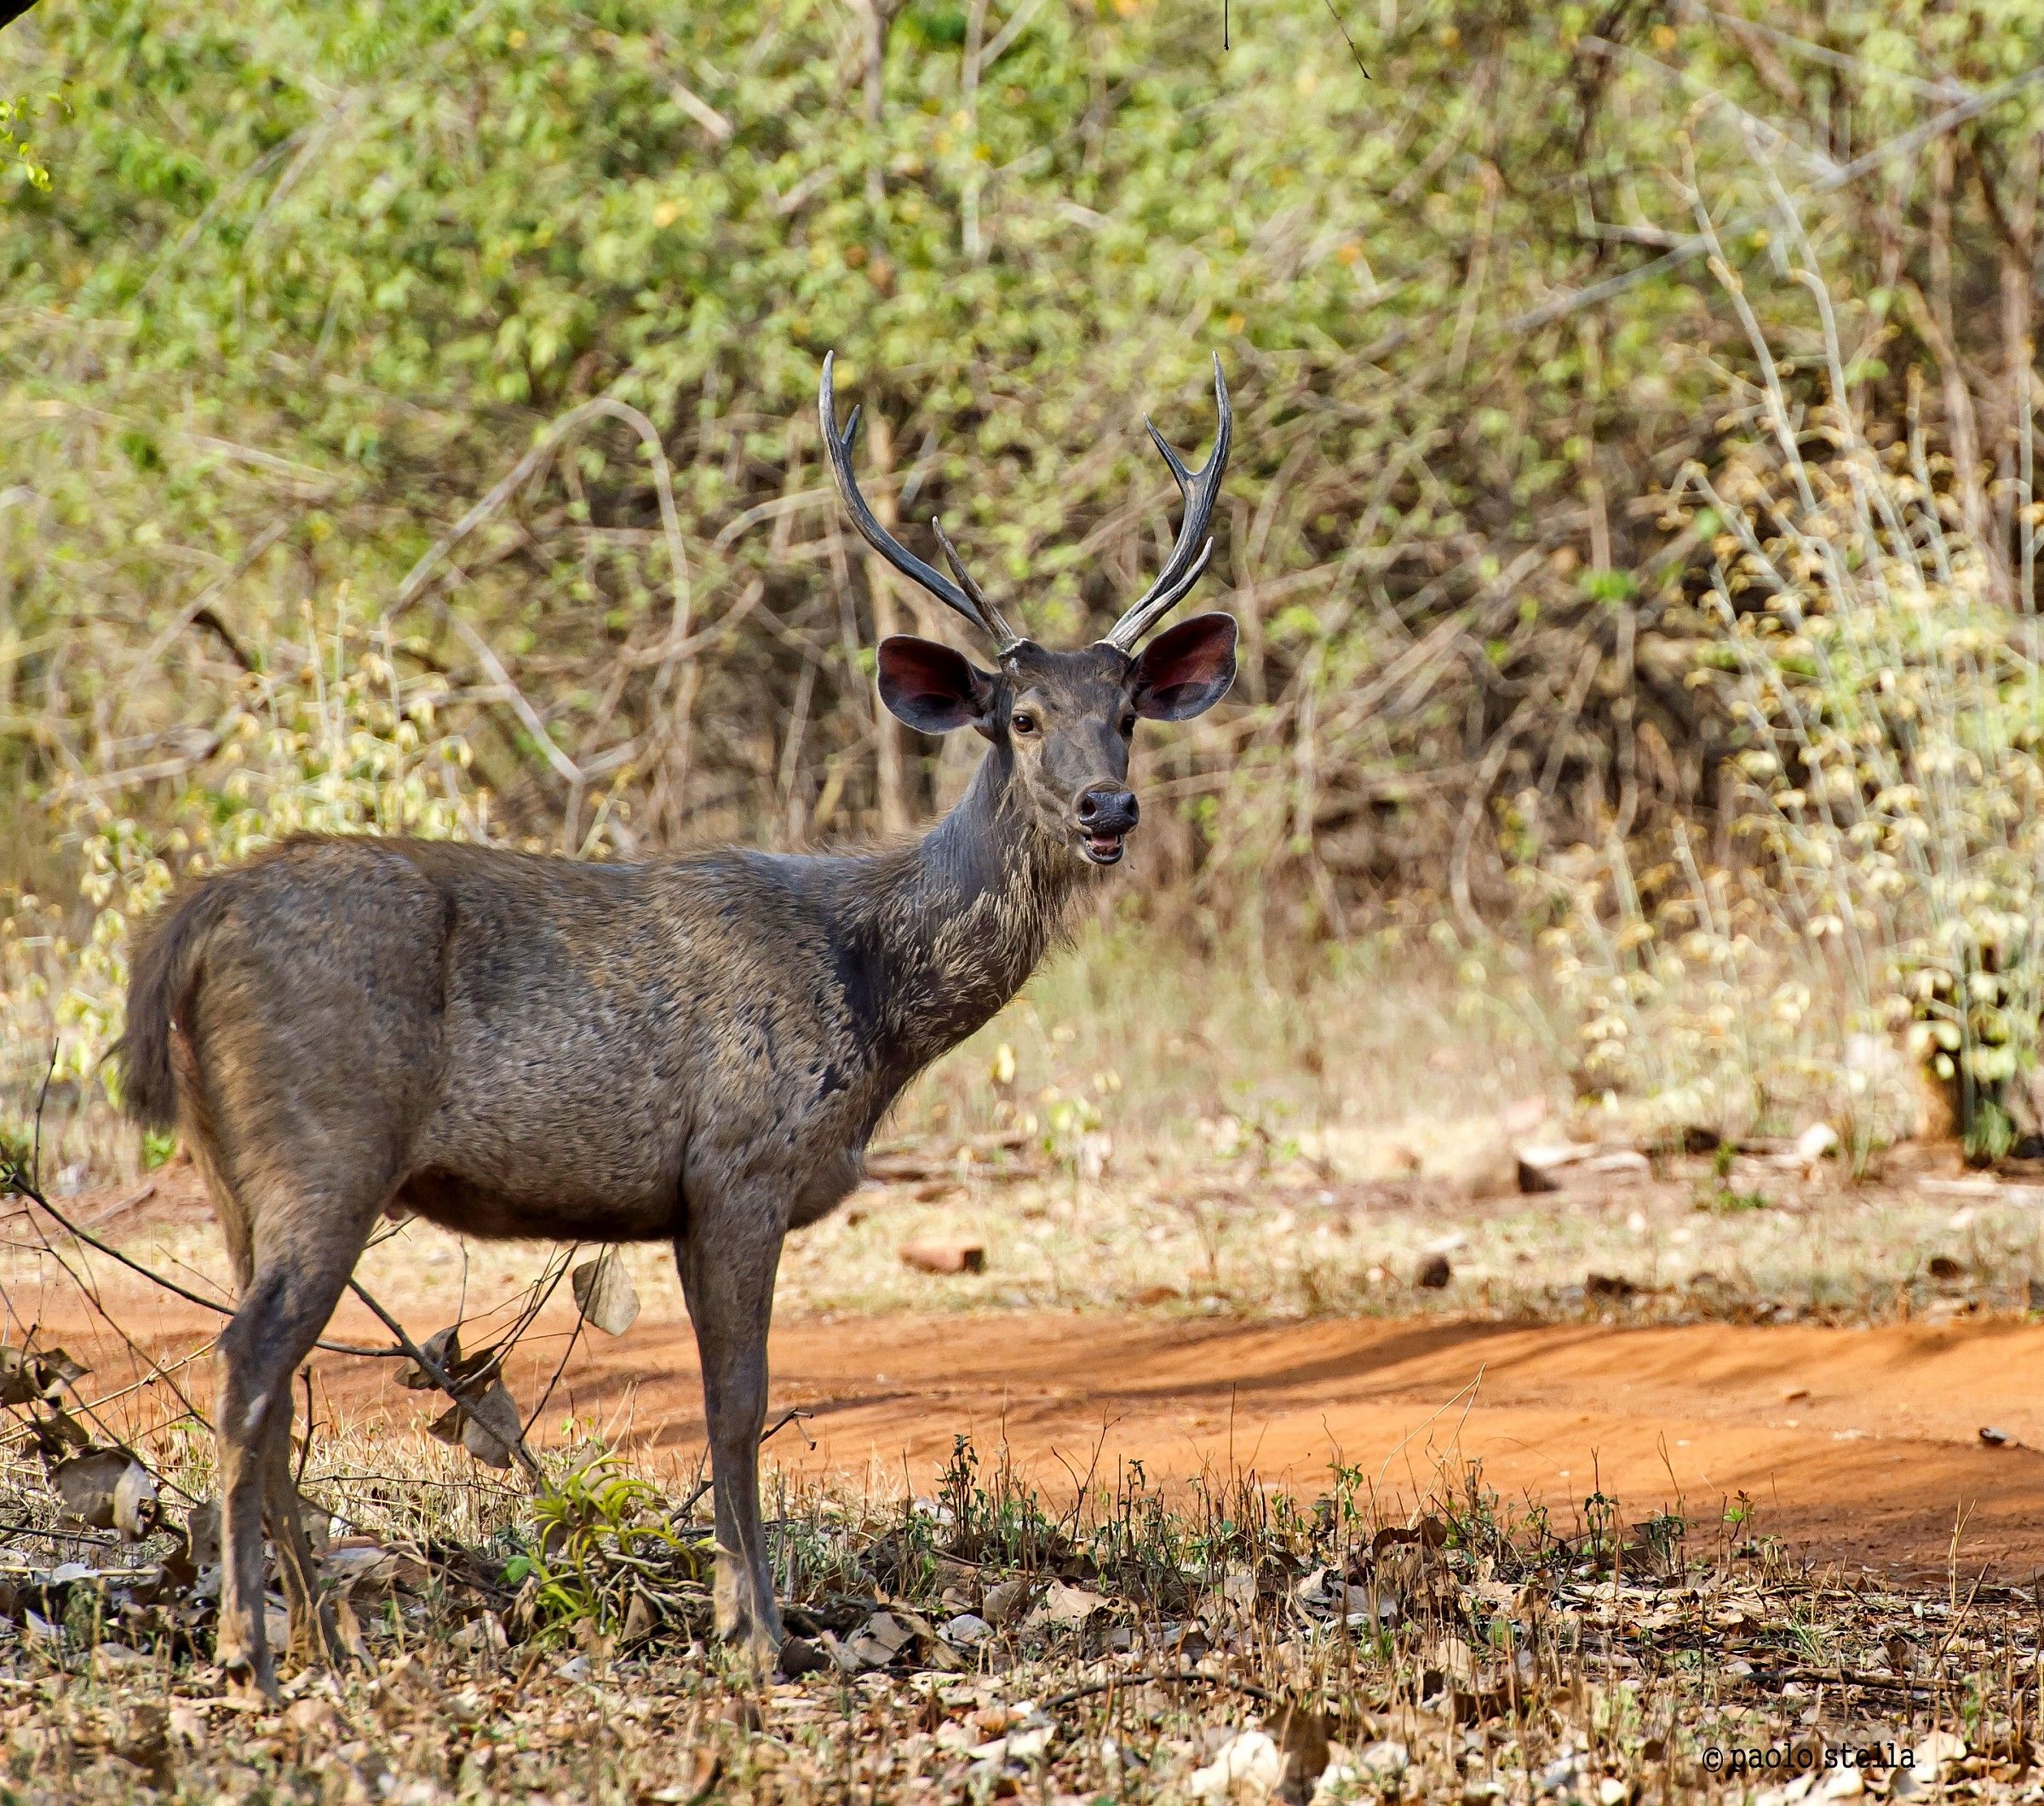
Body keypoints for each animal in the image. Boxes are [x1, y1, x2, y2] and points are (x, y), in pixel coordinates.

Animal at [116, 351, 1236, 1696]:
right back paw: (251, 1645)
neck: (873, 994)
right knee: (247, 1364)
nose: (1106, 806)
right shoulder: (739, 1162)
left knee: (268, 1374)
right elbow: (738, 1400)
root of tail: (200, 915)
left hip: (233, 1166)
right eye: (1017, 717)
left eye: (1125, 712)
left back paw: (328, 1635)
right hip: (326, 1136)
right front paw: (759, 1631)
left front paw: (743, 1615)